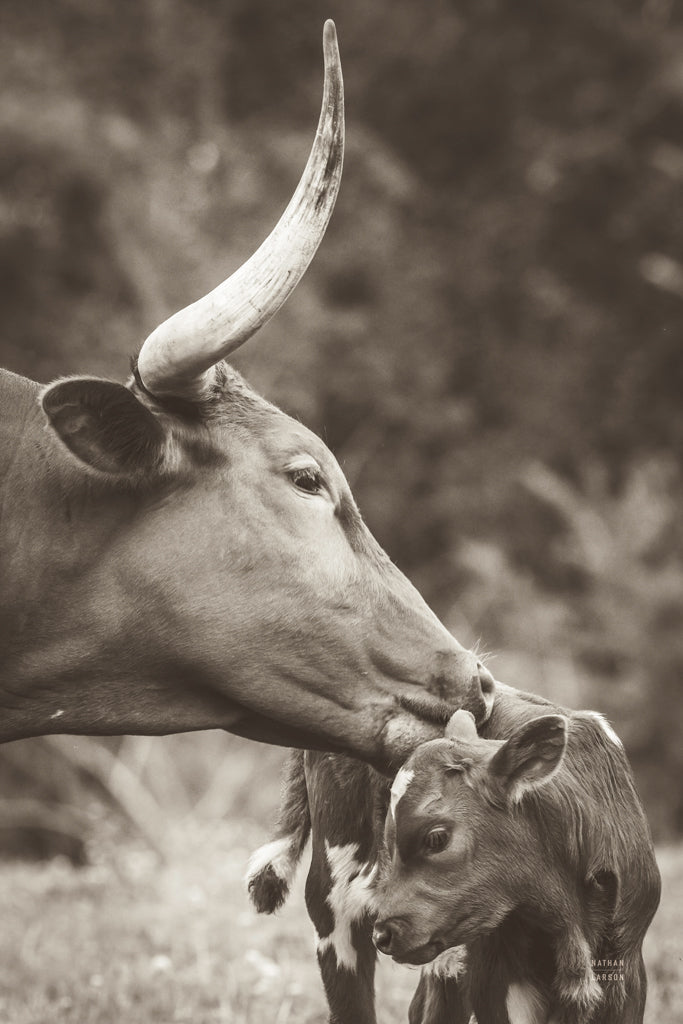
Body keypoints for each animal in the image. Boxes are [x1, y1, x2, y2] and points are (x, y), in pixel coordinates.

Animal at [248, 679, 659, 1024]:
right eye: (389, 837)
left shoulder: (625, 973)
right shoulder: (493, 975)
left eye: (436, 838)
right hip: (335, 904)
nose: (385, 933)